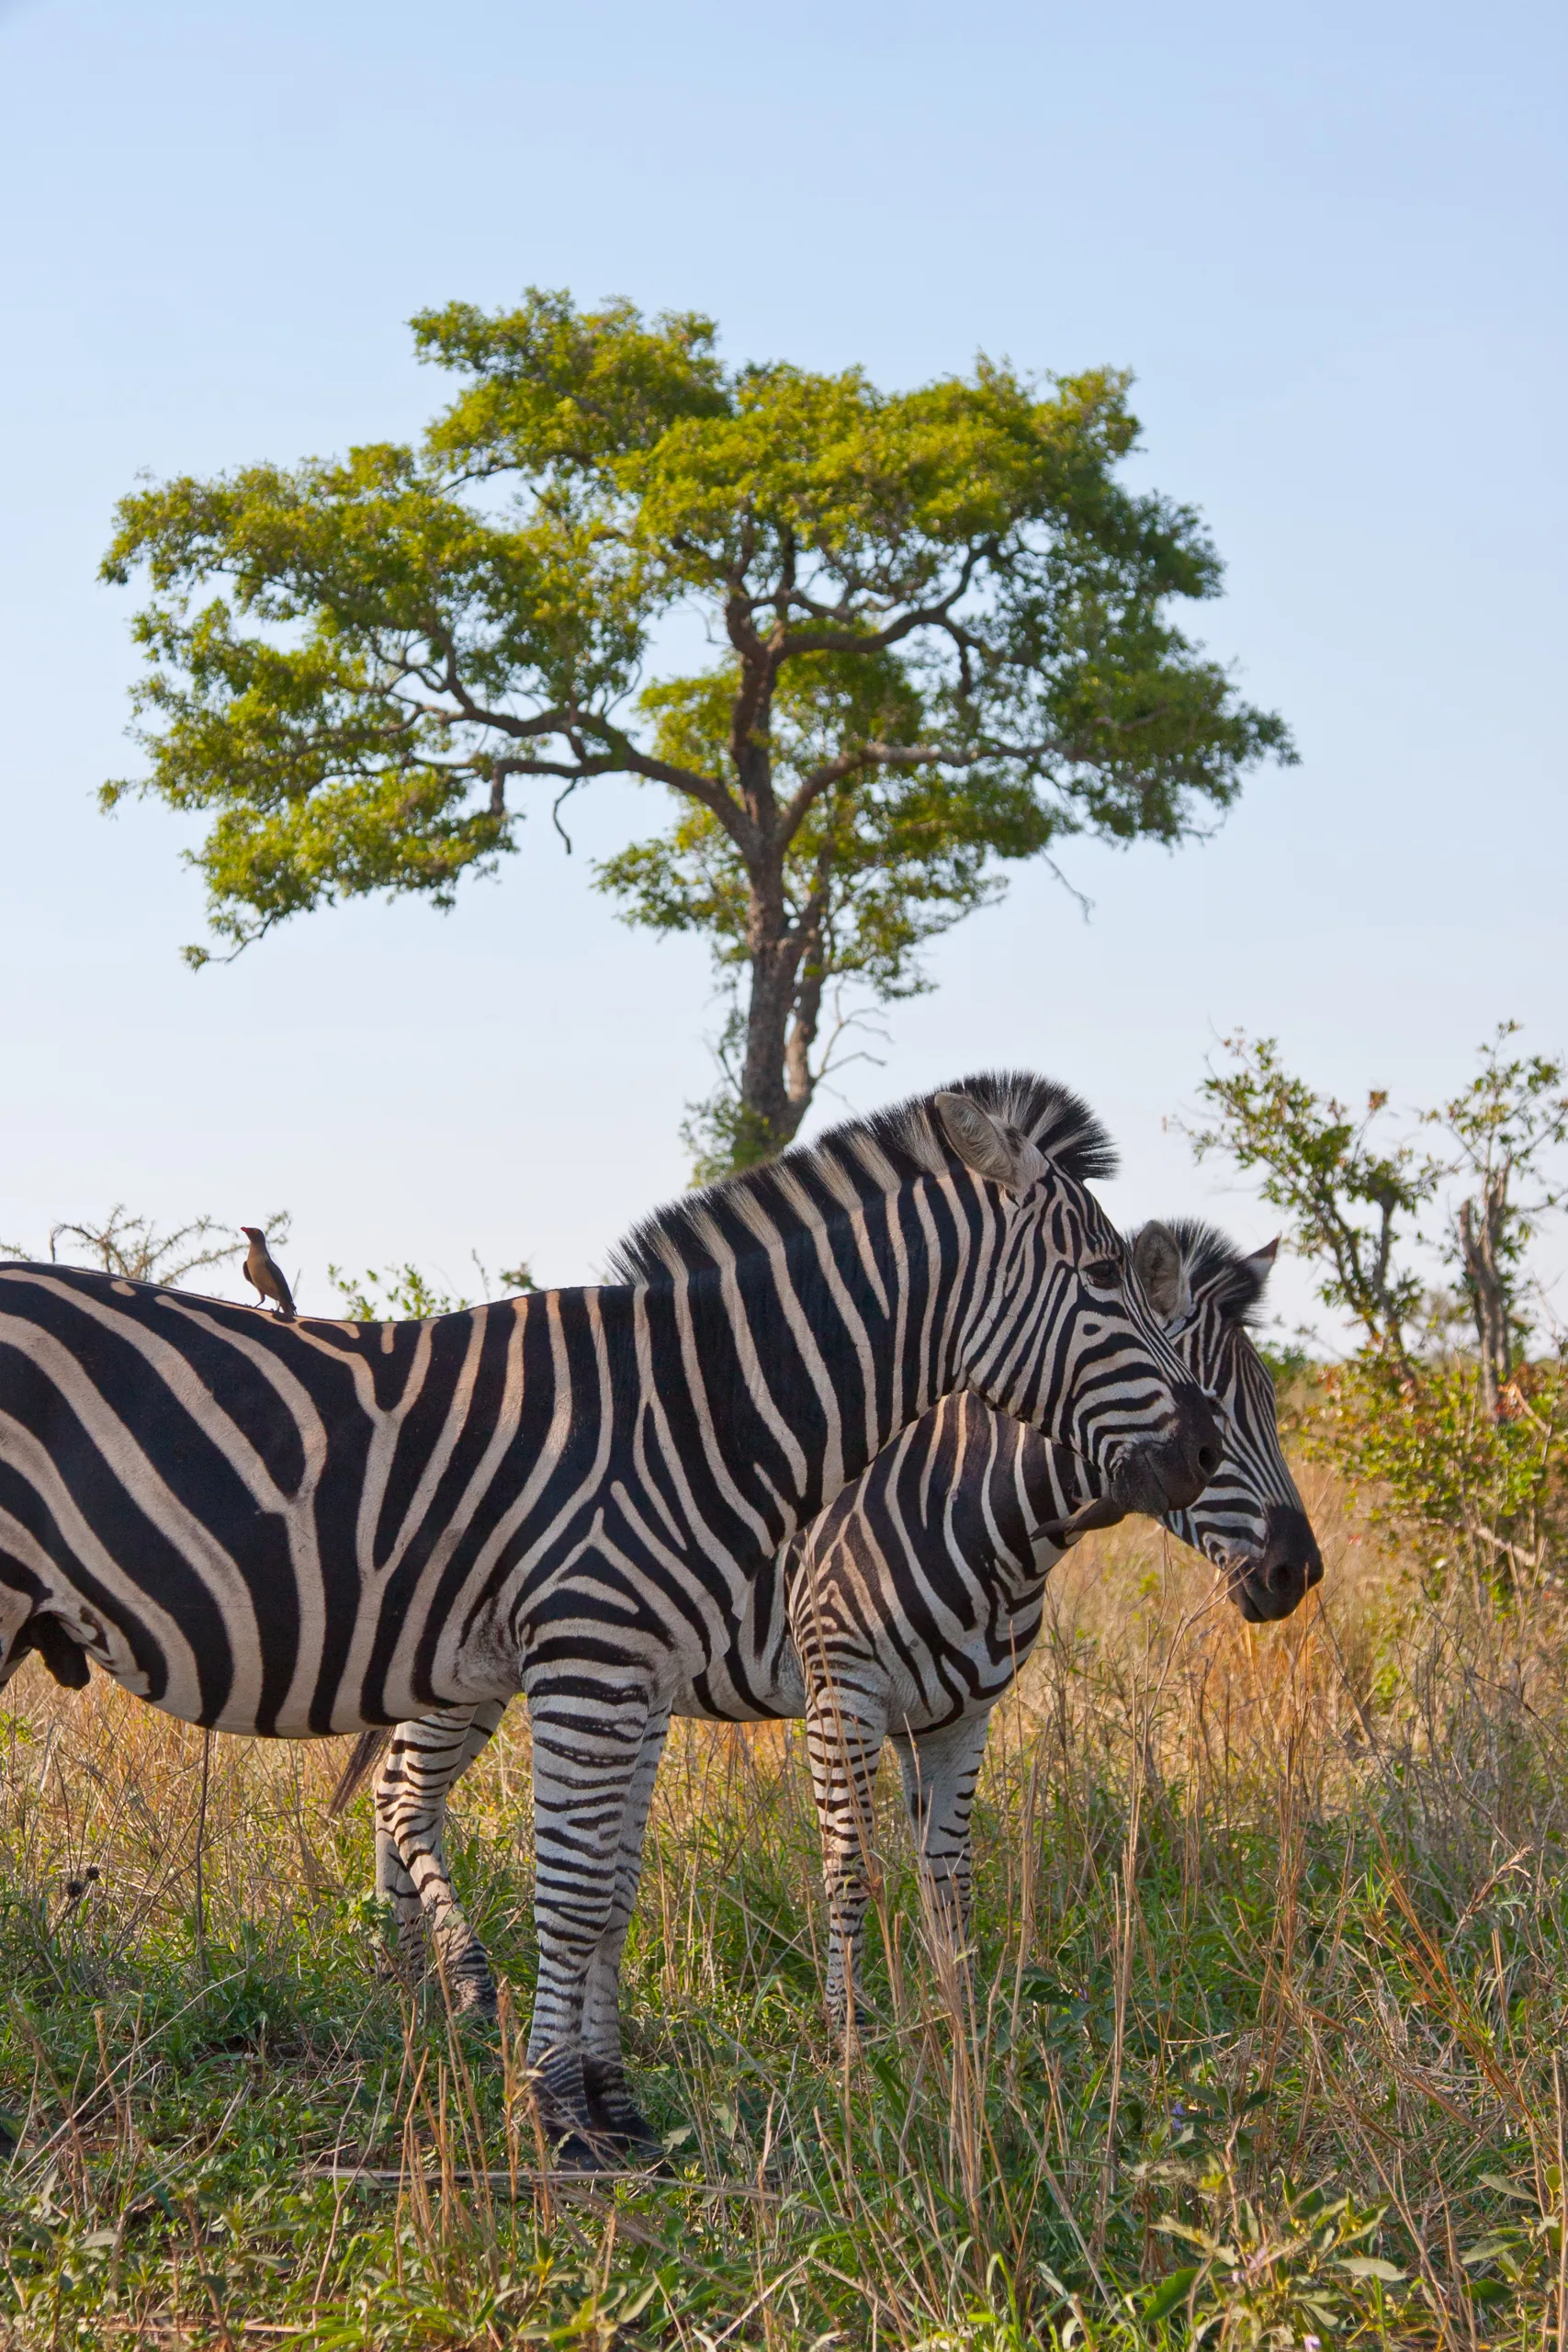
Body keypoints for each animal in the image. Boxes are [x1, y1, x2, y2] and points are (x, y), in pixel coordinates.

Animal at [0, 1072, 1219, 2158]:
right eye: (1102, 1273)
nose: (1205, 1448)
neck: (698, 1410)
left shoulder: (643, 1673)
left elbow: (617, 1893)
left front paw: (611, 2106)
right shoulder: (590, 1659)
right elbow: (577, 1893)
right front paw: (555, 2113)